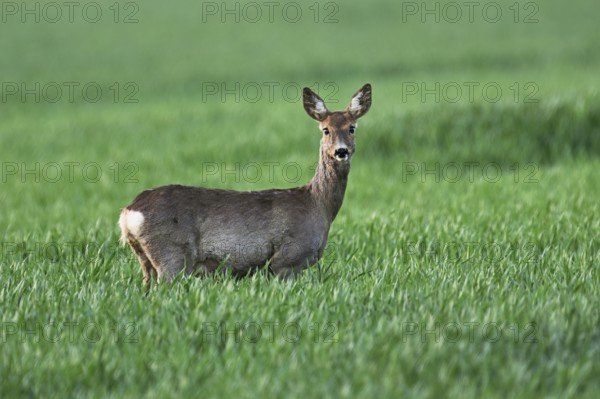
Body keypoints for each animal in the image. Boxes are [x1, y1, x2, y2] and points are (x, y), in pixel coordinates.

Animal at [118, 83, 370, 286]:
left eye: (352, 128)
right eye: (326, 129)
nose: (341, 151)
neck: (319, 206)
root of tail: (128, 213)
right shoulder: (287, 258)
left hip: (145, 260)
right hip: (172, 255)